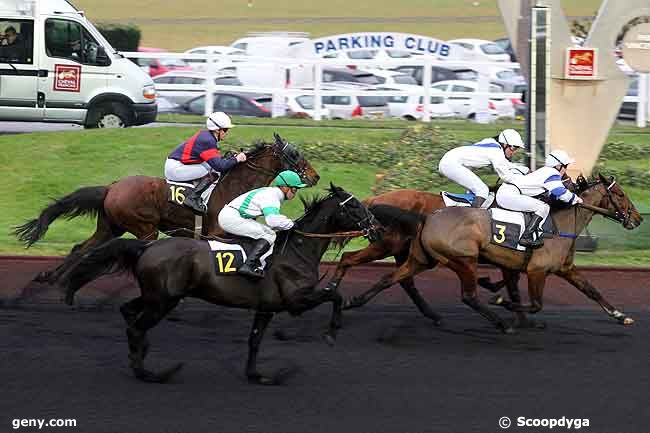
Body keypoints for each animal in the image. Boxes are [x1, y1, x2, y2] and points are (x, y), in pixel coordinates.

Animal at [13, 133, 318, 286]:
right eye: (294, 155)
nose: (315, 176)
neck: (235, 183)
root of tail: (112, 187)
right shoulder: (217, 233)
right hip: (143, 228)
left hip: (111, 226)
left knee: (82, 249)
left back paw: (53, 277)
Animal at [59, 184, 380, 384]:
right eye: (354, 206)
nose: (376, 227)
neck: (297, 249)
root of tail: (147, 246)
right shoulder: (296, 301)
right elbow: (334, 295)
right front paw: (331, 332)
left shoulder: (266, 308)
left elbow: (254, 341)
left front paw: (256, 376)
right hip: (163, 300)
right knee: (136, 325)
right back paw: (149, 372)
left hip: (157, 295)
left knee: (128, 312)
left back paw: (141, 353)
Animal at [342, 174, 640, 332]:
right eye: (620, 195)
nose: (637, 219)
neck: (557, 223)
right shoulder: (535, 270)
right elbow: (530, 300)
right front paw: (508, 308)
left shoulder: (562, 268)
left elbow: (592, 290)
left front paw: (620, 315)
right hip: (444, 256)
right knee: (466, 294)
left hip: (419, 257)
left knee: (395, 279)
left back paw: (355, 301)